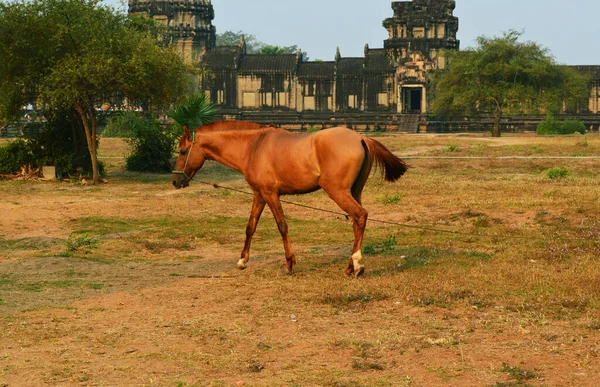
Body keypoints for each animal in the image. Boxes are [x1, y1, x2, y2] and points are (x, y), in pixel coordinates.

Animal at [172, 120, 408, 276]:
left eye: (182, 151)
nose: (175, 181)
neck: (254, 146)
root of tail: (360, 137)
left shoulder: (271, 194)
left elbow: (282, 226)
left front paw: (289, 263)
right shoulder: (259, 195)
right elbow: (250, 227)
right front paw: (242, 260)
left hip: (338, 192)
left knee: (360, 216)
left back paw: (356, 266)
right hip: (354, 192)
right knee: (358, 221)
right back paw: (352, 264)